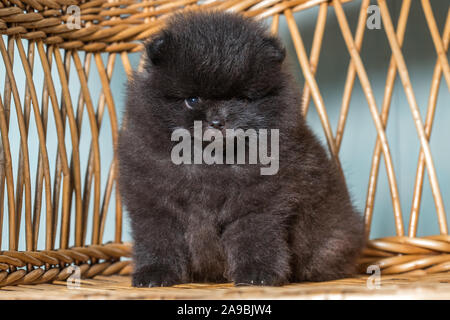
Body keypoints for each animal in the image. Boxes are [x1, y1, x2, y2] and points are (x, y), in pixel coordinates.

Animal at [118, 10, 364, 286]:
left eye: (242, 100)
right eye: (192, 99)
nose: (218, 121)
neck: (209, 163)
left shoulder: (258, 206)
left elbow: (254, 238)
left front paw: (257, 274)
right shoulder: (153, 205)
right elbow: (157, 241)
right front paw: (155, 273)